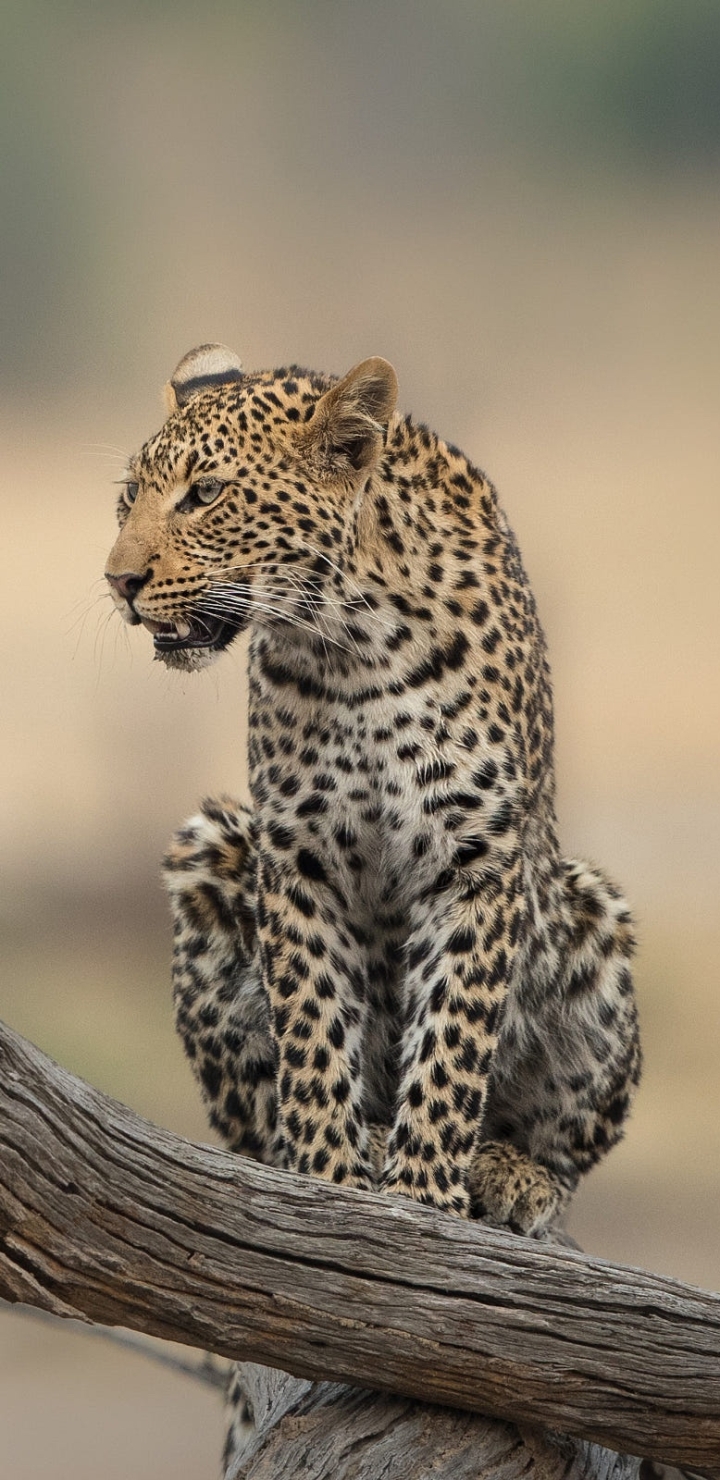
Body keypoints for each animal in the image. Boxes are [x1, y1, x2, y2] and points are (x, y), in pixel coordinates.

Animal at [103, 338, 637, 1237]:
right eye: (126, 500)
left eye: (205, 495)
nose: (119, 582)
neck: (349, 642)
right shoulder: (297, 853)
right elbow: (313, 1024)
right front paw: (330, 1174)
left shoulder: (473, 858)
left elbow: (453, 1038)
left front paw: (422, 1191)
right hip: (212, 850)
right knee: (256, 1116)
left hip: (592, 915)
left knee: (558, 1153)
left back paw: (507, 1173)